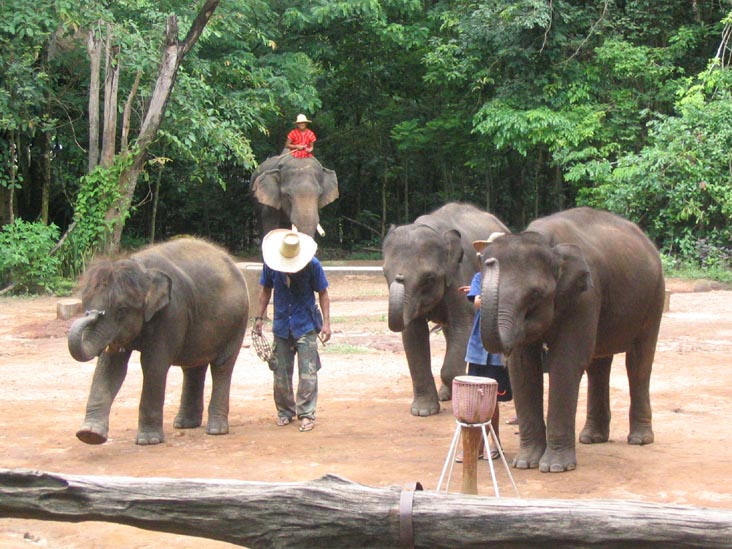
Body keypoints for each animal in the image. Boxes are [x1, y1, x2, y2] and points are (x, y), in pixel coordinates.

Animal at [67, 237, 249, 446]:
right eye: (85, 304)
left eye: (121, 310)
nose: (93, 314)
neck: (140, 269)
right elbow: (111, 367)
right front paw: (89, 435)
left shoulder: (171, 313)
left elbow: (154, 366)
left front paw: (148, 441)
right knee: (193, 366)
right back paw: (185, 425)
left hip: (237, 323)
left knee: (222, 366)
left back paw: (216, 430)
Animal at [382, 202, 510, 416]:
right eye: (385, 274)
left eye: (429, 278)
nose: (399, 277)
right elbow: (414, 334)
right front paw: (423, 412)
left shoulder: (459, 275)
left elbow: (463, 326)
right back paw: (445, 395)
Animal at [477, 207, 665, 472]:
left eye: (535, 294)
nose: (490, 260)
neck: (548, 243)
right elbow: (523, 367)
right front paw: (525, 463)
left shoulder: (586, 295)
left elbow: (566, 362)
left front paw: (554, 467)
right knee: (599, 364)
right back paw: (592, 438)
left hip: (655, 296)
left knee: (638, 361)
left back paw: (639, 440)